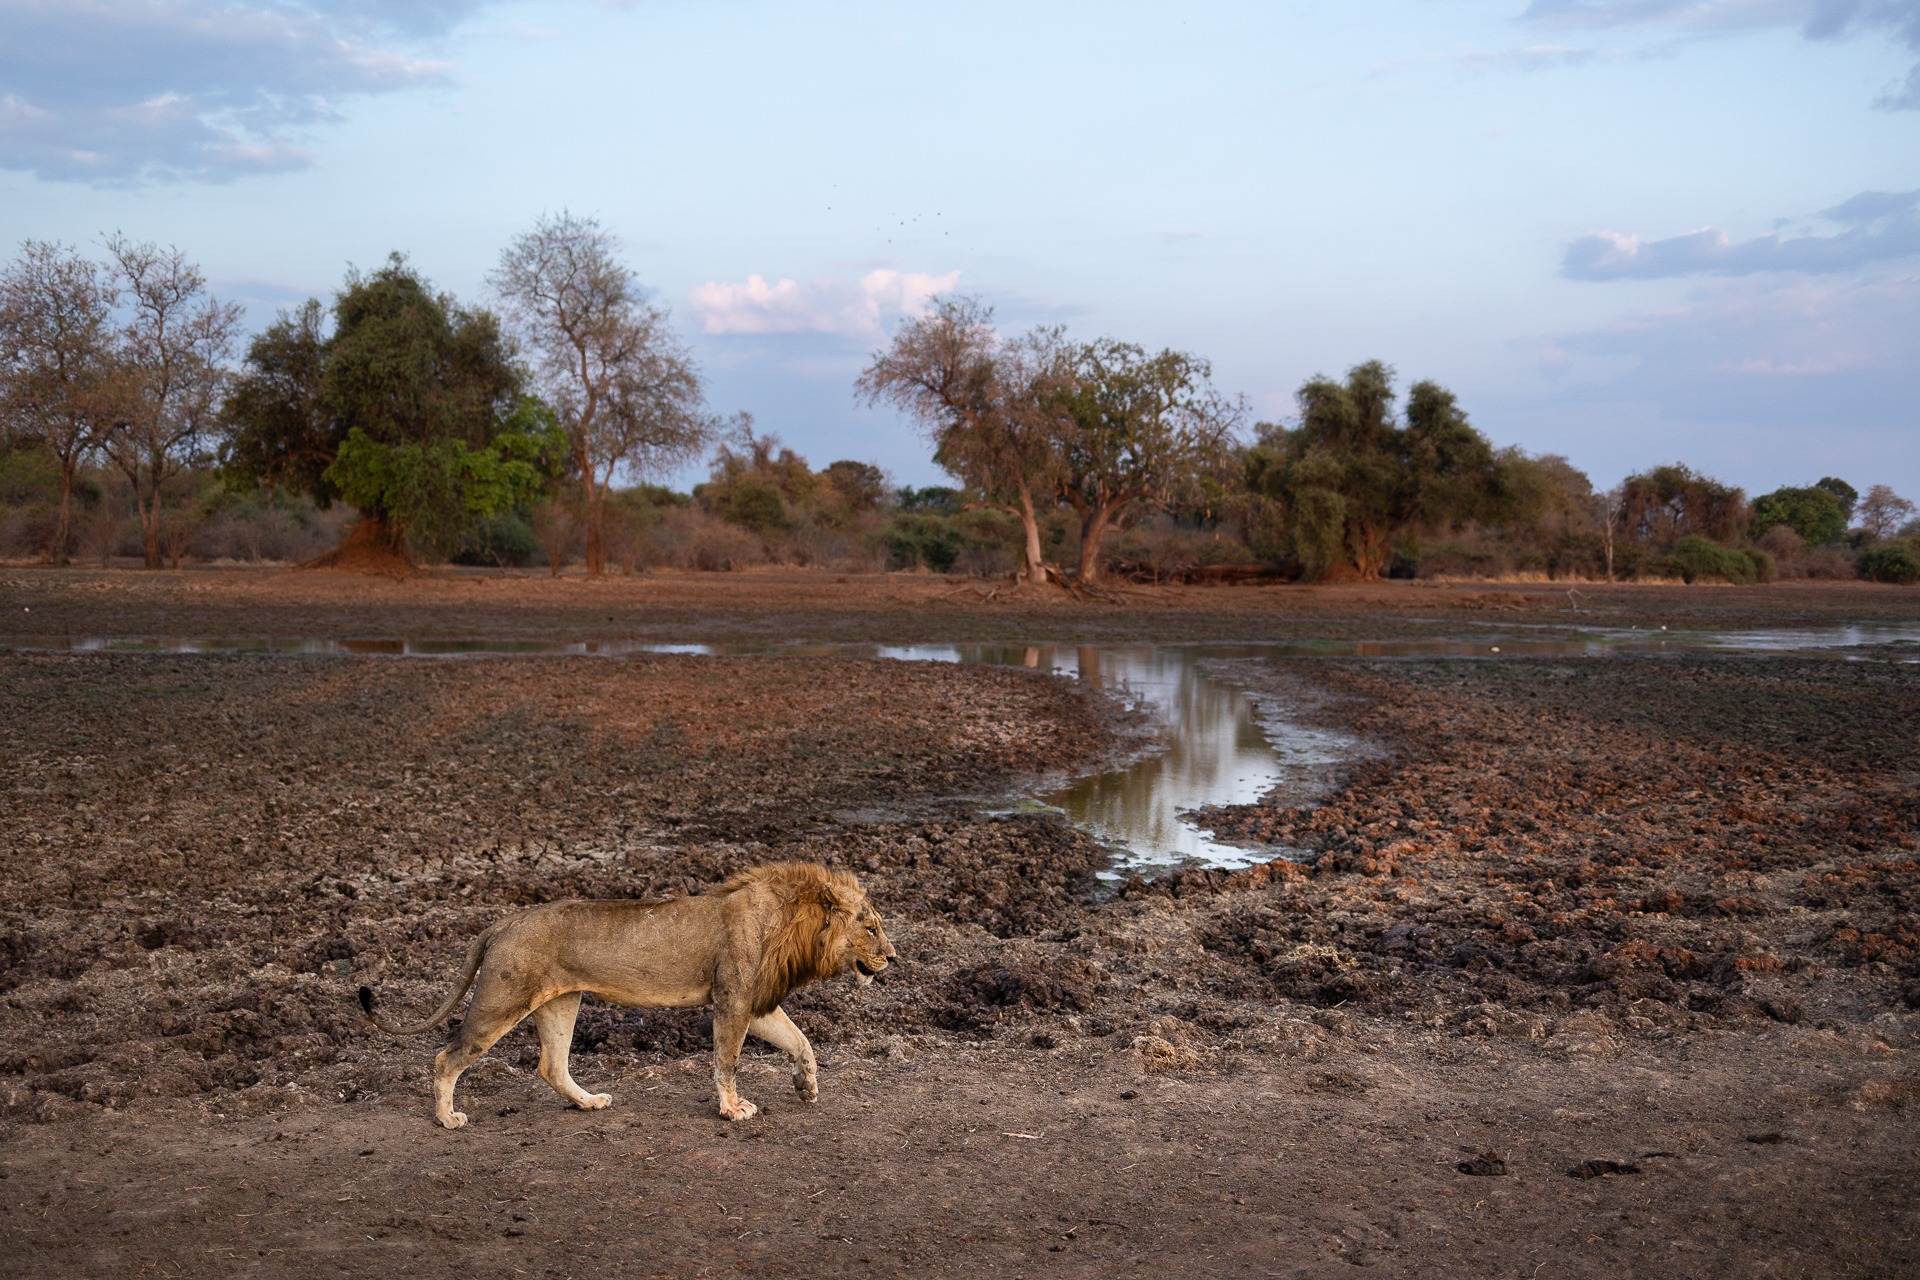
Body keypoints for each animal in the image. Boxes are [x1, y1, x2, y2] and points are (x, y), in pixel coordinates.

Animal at [357, 859, 894, 1128]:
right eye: (870, 927)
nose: (893, 956)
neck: (794, 921)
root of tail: (504, 921)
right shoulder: (733, 999)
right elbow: (727, 1062)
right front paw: (731, 1110)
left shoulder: (756, 1002)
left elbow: (802, 1042)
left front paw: (807, 1087)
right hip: (500, 1001)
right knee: (446, 1057)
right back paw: (448, 1119)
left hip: (560, 1002)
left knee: (551, 1066)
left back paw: (589, 1103)